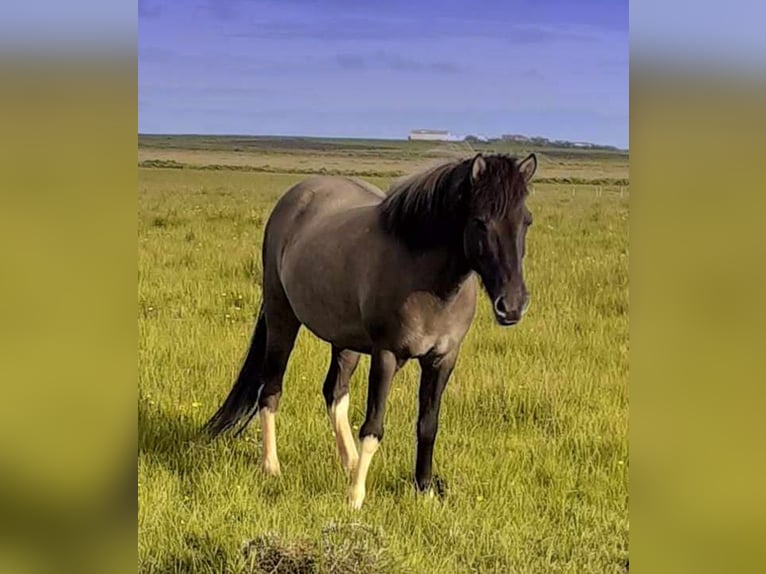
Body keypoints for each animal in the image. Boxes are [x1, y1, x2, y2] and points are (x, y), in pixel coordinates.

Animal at [207, 152, 536, 508]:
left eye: (526, 221)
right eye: (480, 221)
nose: (512, 306)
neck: (426, 279)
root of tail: (296, 196)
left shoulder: (443, 359)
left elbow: (427, 425)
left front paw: (424, 490)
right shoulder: (386, 355)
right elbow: (373, 426)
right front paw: (356, 497)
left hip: (346, 340)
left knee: (335, 393)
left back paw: (349, 462)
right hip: (283, 317)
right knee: (271, 389)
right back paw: (272, 466)